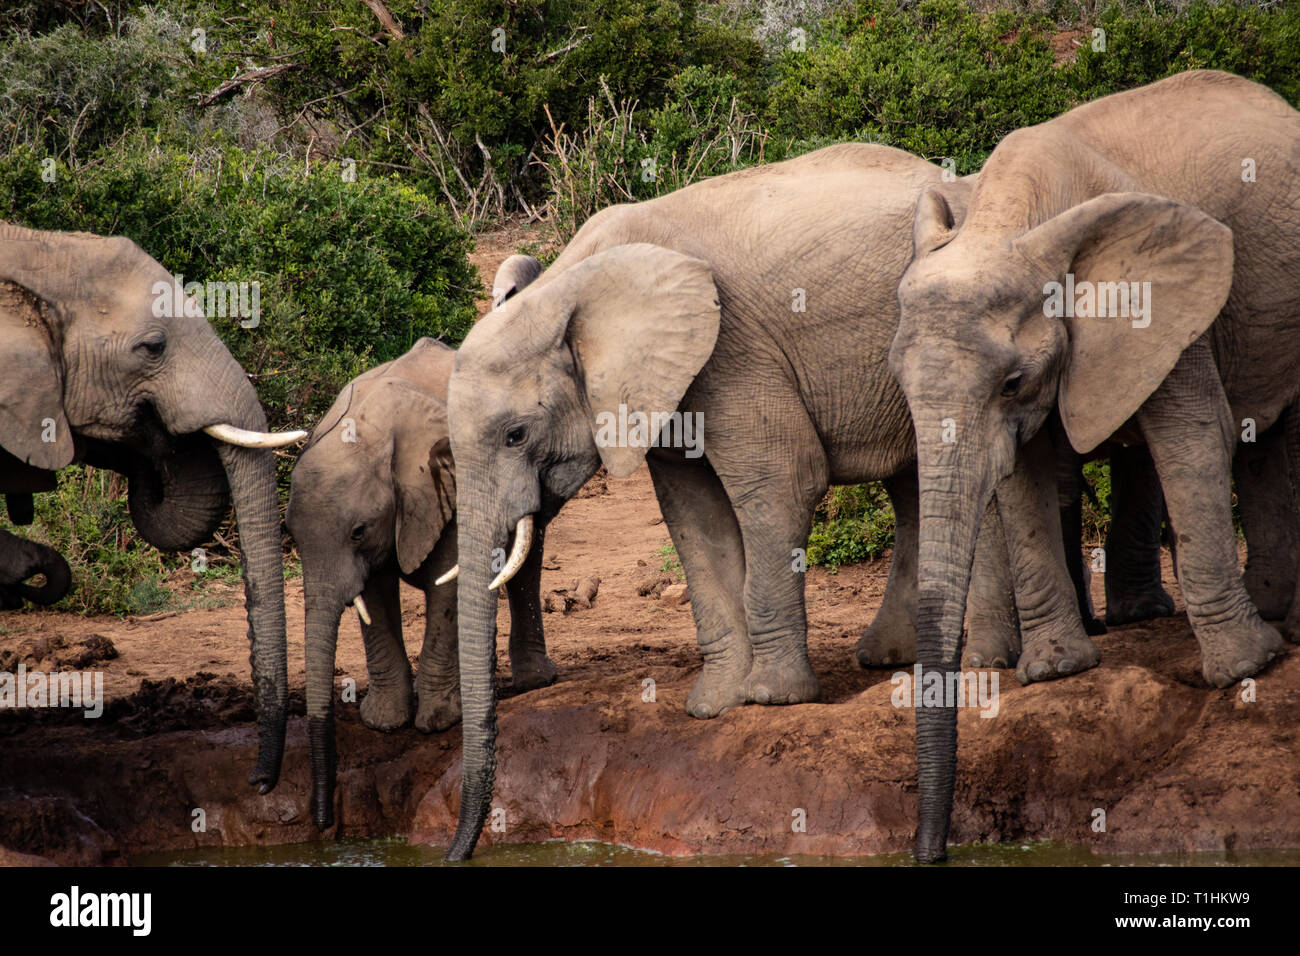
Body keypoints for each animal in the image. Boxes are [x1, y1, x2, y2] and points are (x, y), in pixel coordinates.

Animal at [289, 335, 553, 832]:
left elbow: (446, 587)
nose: (322, 820)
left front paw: (437, 723)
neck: (370, 429)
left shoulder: (445, 483)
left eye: (358, 531)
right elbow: (374, 595)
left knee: (527, 551)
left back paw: (534, 682)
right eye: (289, 536)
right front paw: (385, 723)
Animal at [889, 70, 1300, 863]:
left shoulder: (1157, 302)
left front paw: (1245, 668)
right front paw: (1056, 669)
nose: (931, 851)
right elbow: (1020, 475)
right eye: (897, 380)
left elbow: (1194, 434)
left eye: (1012, 382)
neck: (1013, 216)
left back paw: (1281, 629)